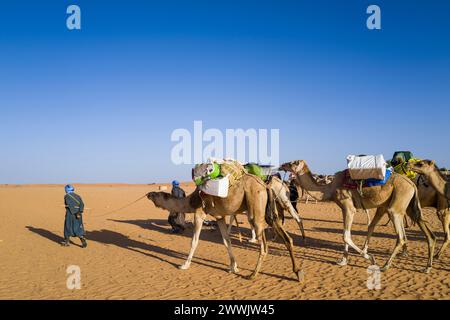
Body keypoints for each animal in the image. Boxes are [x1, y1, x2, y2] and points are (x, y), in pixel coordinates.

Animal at [146, 174, 304, 282]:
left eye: (155, 194)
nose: (148, 194)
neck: (190, 200)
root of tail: (265, 186)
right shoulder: (219, 217)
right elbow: (226, 241)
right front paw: (233, 267)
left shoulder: (199, 214)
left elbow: (194, 241)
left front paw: (184, 265)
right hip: (269, 211)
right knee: (287, 238)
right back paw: (298, 272)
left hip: (256, 206)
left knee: (264, 245)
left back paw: (253, 274)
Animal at [278, 160, 436, 272]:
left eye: (293, 163)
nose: (281, 165)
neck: (329, 188)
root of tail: (412, 183)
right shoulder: (344, 209)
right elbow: (345, 234)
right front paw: (343, 261)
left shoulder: (349, 208)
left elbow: (346, 236)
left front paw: (371, 258)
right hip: (402, 206)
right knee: (421, 231)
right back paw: (427, 266)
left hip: (396, 204)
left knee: (401, 237)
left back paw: (385, 265)